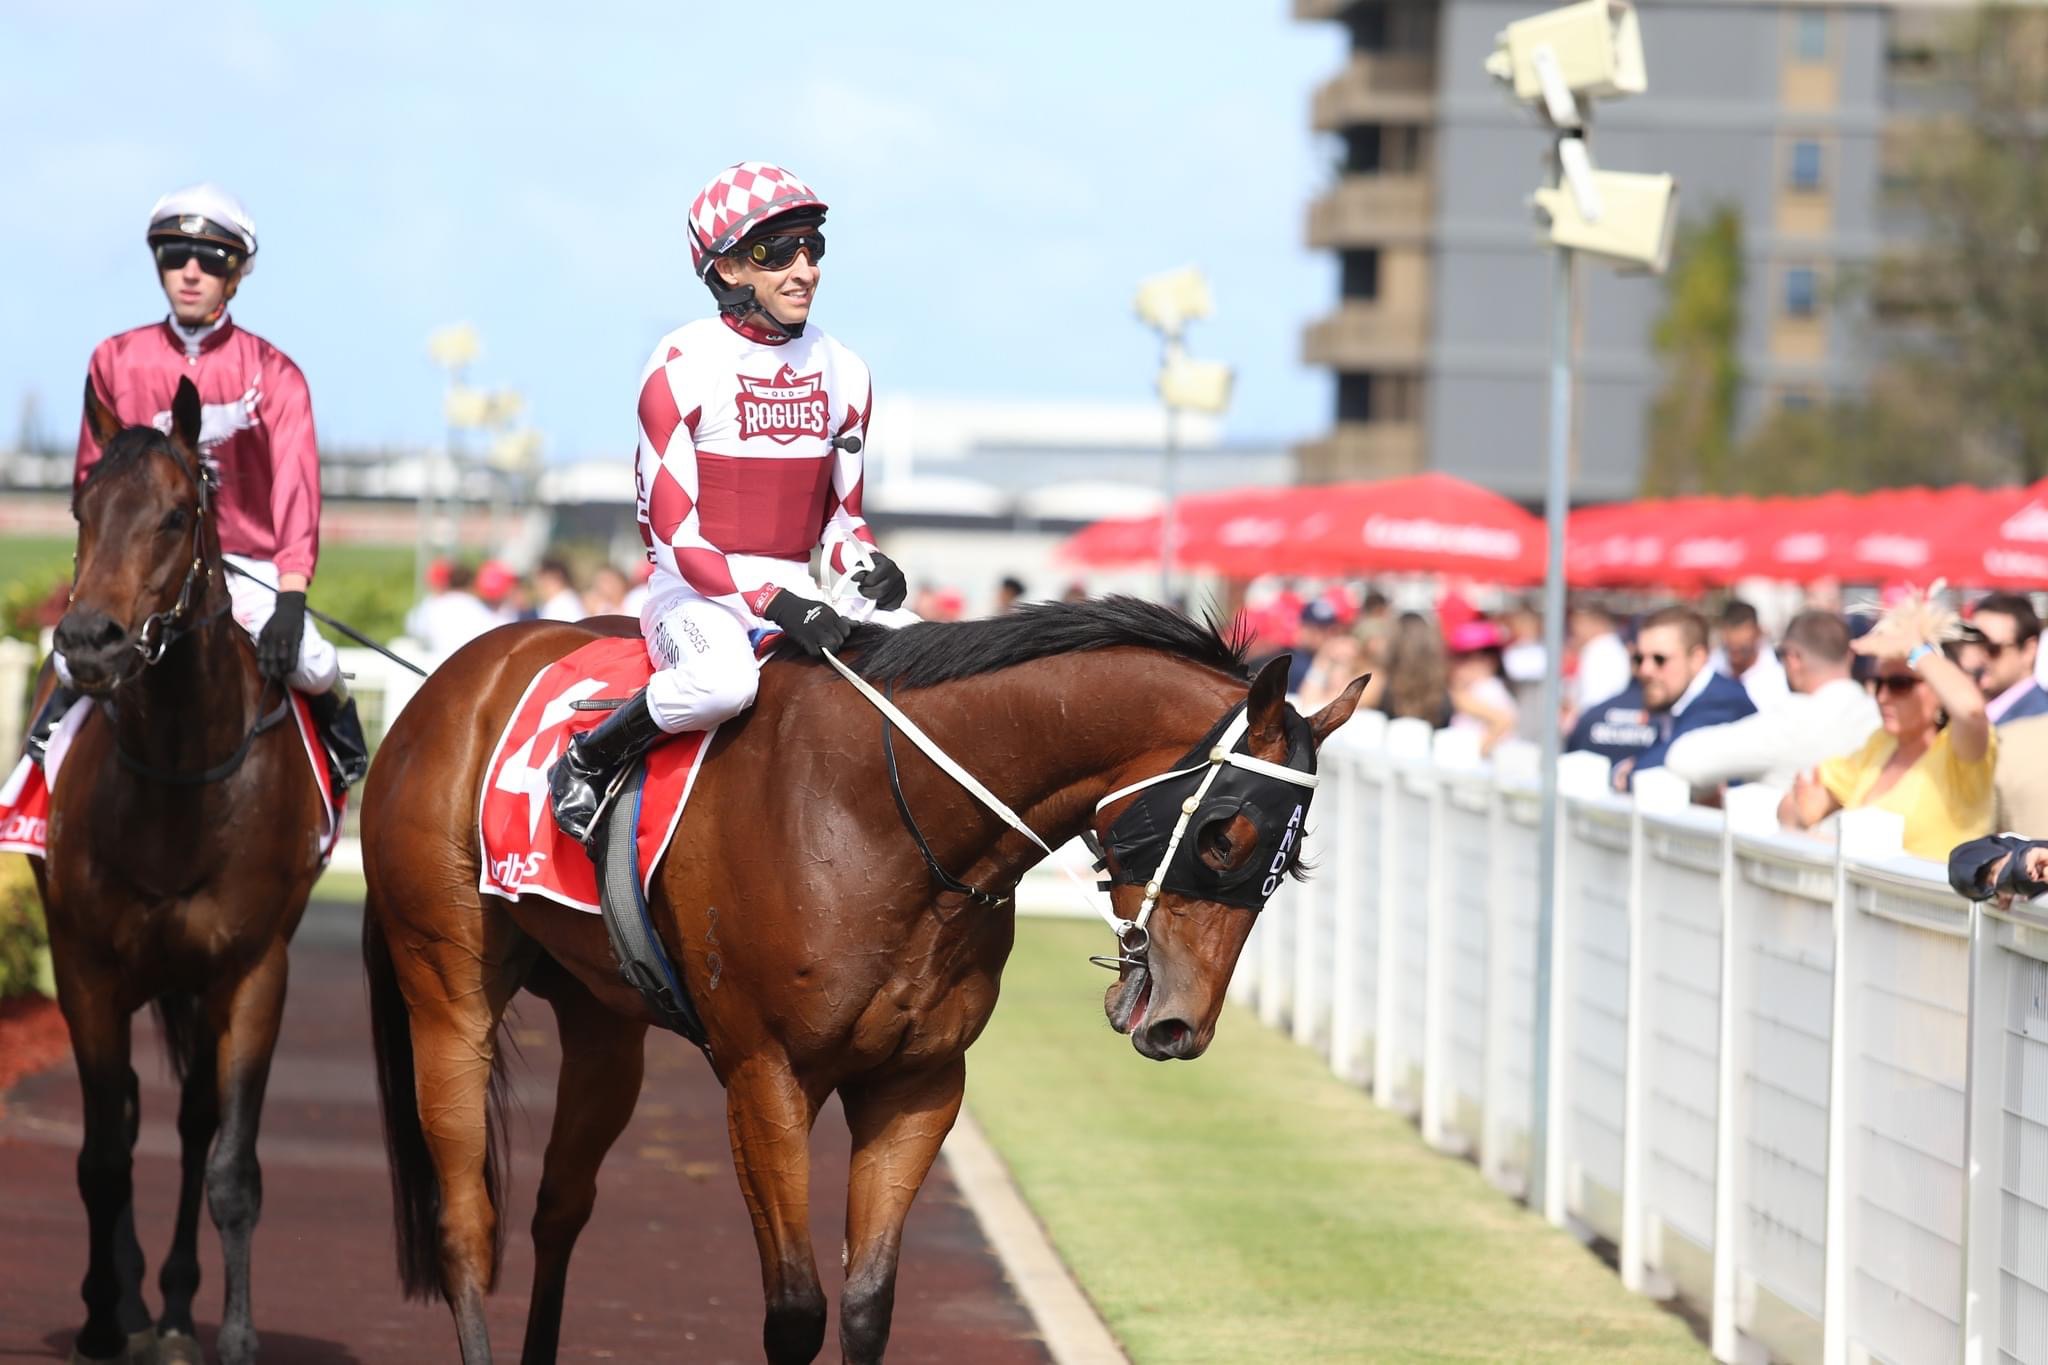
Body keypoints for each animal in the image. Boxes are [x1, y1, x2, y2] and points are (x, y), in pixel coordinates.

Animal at [36, 378, 327, 1365]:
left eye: (173, 514)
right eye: (80, 510)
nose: (89, 639)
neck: (178, 779)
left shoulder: (253, 971)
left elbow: (232, 1164)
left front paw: (232, 1332)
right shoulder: (86, 967)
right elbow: (99, 1155)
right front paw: (97, 1316)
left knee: (197, 1122)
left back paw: (169, 1303)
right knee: (124, 1117)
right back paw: (128, 1300)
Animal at [362, 601, 1368, 1358]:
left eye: (1291, 864)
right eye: (1224, 836)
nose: (1179, 1025)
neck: (882, 814)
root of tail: (453, 675)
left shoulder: (917, 1081)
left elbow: (866, 1304)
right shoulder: (765, 1077)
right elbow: (796, 1309)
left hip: (604, 1022)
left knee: (559, 1207)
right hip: (446, 993)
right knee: (466, 1222)